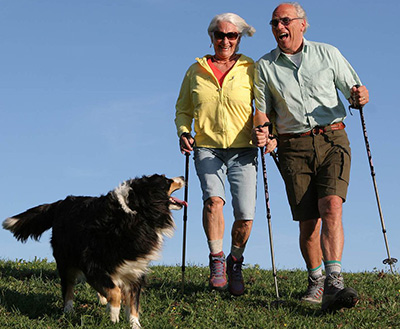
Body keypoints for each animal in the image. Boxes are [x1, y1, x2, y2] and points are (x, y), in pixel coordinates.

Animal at [2, 173, 187, 326]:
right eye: (166, 180)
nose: (183, 176)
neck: (136, 212)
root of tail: (62, 202)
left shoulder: (135, 269)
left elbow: (133, 303)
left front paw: (134, 324)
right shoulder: (92, 263)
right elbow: (115, 292)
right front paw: (114, 315)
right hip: (66, 259)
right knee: (68, 286)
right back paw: (69, 310)